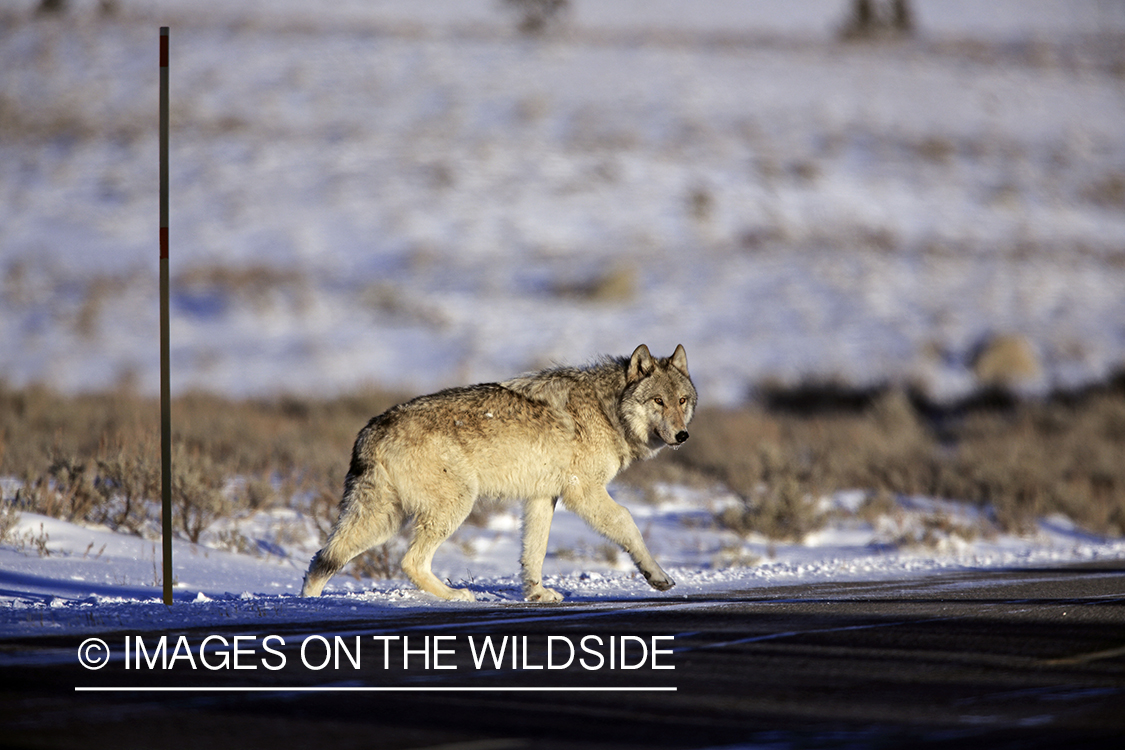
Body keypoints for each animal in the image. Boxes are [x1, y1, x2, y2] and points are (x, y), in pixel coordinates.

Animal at [300, 344, 696, 602]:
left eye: (682, 401)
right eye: (657, 401)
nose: (682, 436)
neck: (606, 410)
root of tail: (372, 429)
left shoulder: (542, 497)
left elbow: (534, 551)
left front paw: (537, 594)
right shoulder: (583, 492)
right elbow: (628, 523)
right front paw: (658, 577)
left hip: (382, 520)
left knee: (322, 559)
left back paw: (309, 603)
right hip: (453, 506)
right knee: (409, 561)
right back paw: (455, 596)